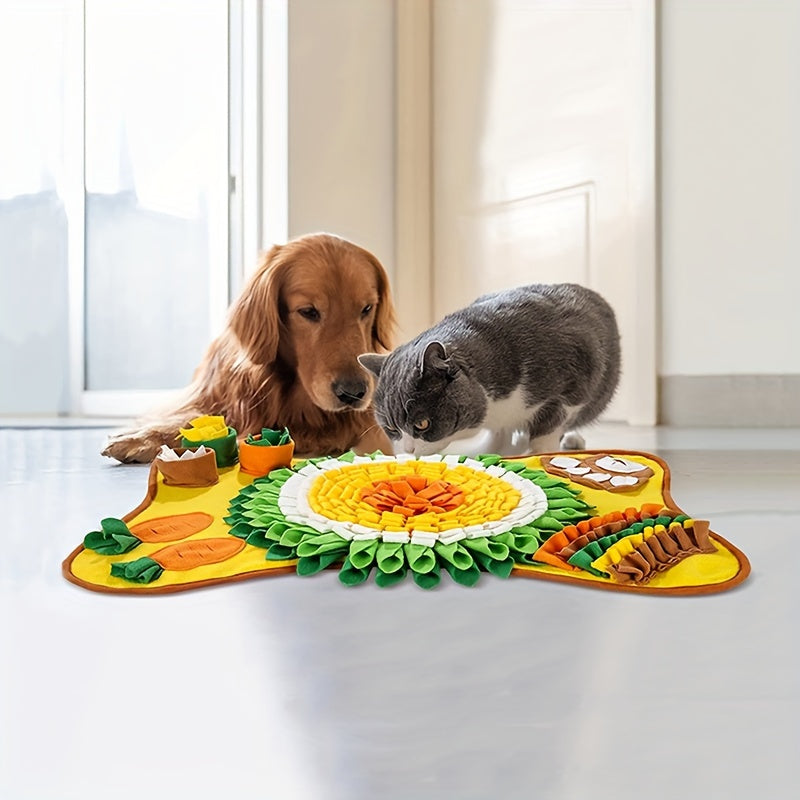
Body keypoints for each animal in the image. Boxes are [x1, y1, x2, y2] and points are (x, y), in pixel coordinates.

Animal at [360, 284, 620, 456]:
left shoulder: (575, 378)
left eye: (422, 424)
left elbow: (549, 428)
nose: (408, 450)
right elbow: (498, 437)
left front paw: (539, 453)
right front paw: (491, 452)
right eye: (391, 428)